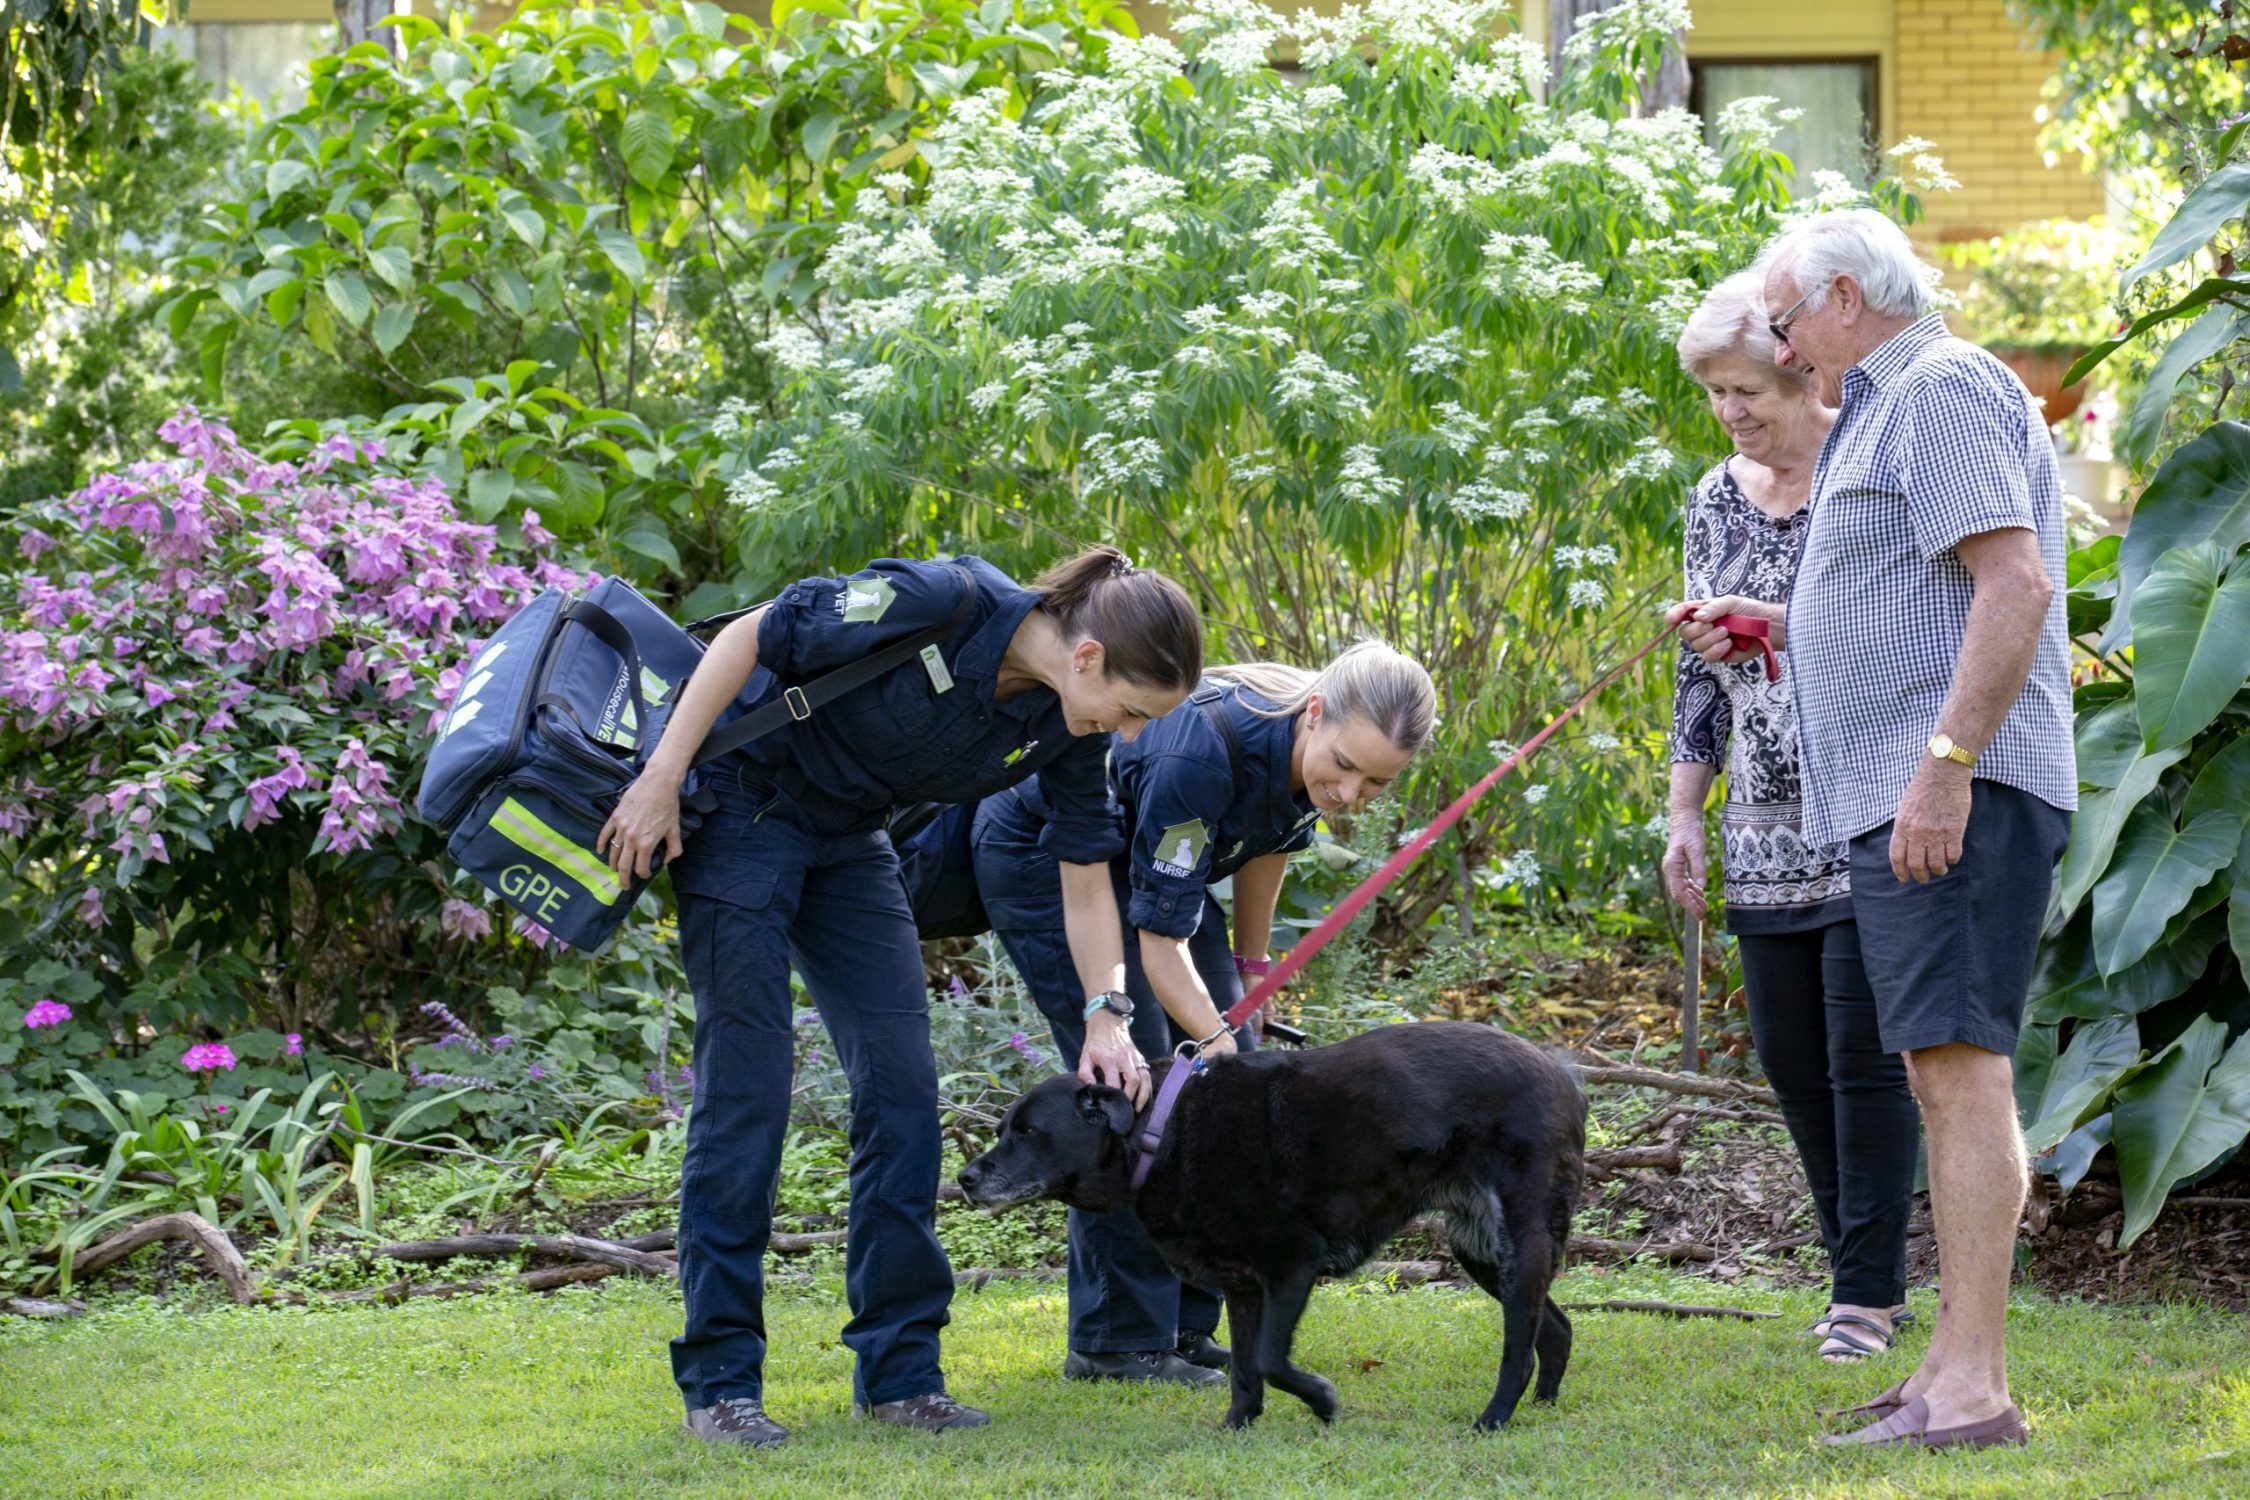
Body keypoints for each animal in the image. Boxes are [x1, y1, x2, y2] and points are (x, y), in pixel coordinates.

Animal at [958, 1020, 1593, 1430]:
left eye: (1027, 1133)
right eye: (1003, 1130)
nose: (964, 1178)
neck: (1160, 1129)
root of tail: (1565, 1075)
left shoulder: (1291, 1265)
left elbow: (1266, 1358)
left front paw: (1323, 1402)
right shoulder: (1242, 1285)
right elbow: (1243, 1366)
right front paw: (1238, 1425)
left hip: (1520, 1240)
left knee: (1520, 1347)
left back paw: (1495, 1418)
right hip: (1481, 1249)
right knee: (1556, 1328)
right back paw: (1542, 1407)